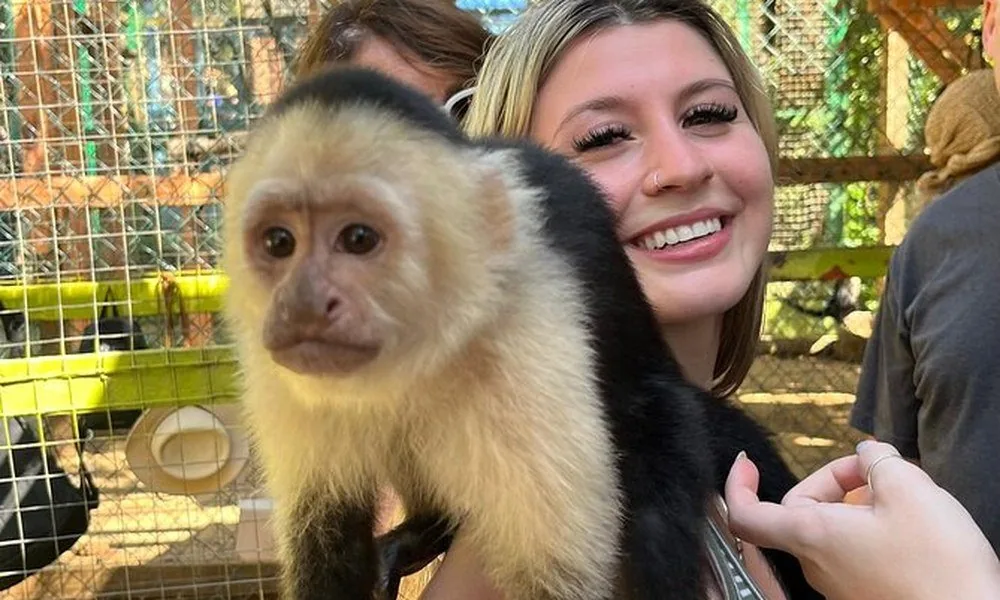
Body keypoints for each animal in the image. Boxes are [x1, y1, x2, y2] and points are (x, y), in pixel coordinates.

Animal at [222, 66, 819, 600]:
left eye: (359, 238)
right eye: (278, 242)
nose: (303, 303)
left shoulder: (529, 328)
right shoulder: (272, 363)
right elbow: (322, 533)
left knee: (653, 432)